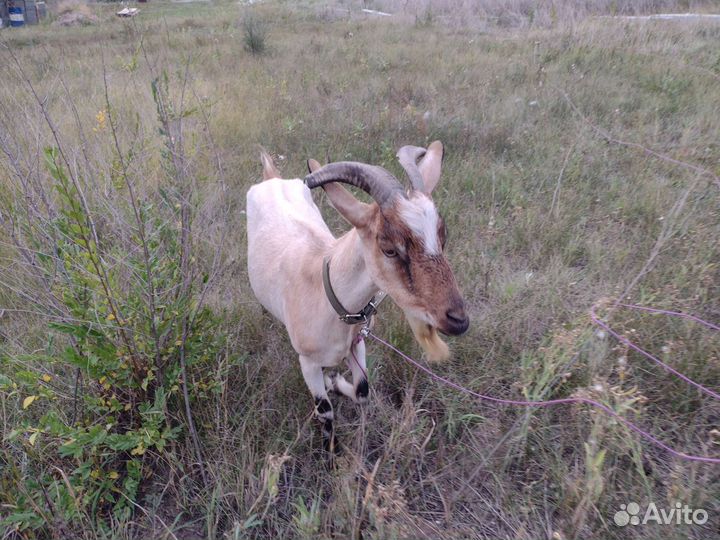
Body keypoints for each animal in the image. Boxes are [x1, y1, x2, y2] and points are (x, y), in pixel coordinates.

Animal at [246, 142, 468, 446]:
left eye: (442, 240)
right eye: (389, 249)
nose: (458, 320)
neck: (326, 292)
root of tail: (272, 178)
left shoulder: (357, 343)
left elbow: (363, 390)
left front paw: (336, 382)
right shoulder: (307, 362)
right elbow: (325, 410)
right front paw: (330, 450)